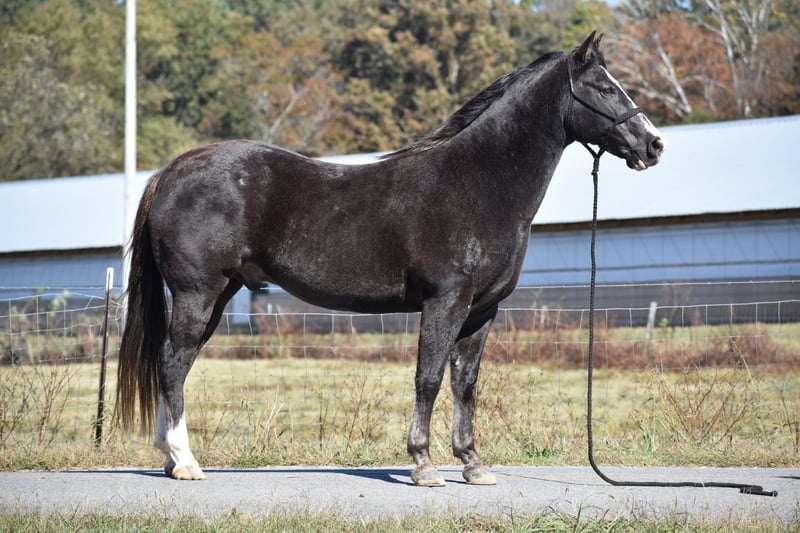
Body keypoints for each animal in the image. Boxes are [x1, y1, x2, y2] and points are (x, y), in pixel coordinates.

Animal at [116, 31, 664, 486]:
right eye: (605, 88)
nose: (654, 145)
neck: (478, 183)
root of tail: (172, 171)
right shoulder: (445, 302)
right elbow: (429, 377)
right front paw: (423, 465)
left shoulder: (482, 311)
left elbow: (465, 383)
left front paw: (472, 465)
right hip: (198, 292)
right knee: (173, 361)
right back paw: (185, 461)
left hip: (216, 296)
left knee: (175, 363)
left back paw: (170, 459)